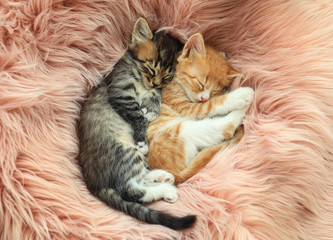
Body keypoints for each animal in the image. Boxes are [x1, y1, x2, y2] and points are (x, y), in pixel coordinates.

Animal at [77, 17, 195, 230]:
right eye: (151, 68)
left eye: (167, 76)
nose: (155, 82)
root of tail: (94, 184)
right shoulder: (120, 91)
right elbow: (138, 116)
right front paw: (142, 137)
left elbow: (155, 94)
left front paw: (152, 105)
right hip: (124, 151)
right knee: (132, 190)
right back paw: (166, 189)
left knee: (137, 181)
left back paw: (162, 177)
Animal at [147, 32, 253, 183]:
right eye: (201, 83)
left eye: (215, 91)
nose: (204, 98)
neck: (176, 81)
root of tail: (175, 174)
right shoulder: (184, 108)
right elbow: (210, 105)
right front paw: (237, 97)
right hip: (179, 130)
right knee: (225, 128)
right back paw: (243, 102)